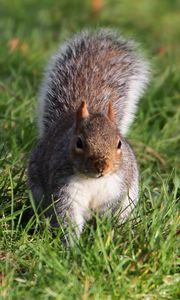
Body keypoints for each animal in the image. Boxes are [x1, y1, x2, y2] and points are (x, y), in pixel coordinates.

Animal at [27, 28, 149, 239]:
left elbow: (108, 212)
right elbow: (67, 218)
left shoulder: (116, 188)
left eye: (119, 143)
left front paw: (103, 233)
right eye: (79, 143)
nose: (102, 167)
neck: (93, 181)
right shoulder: (65, 190)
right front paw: (72, 245)